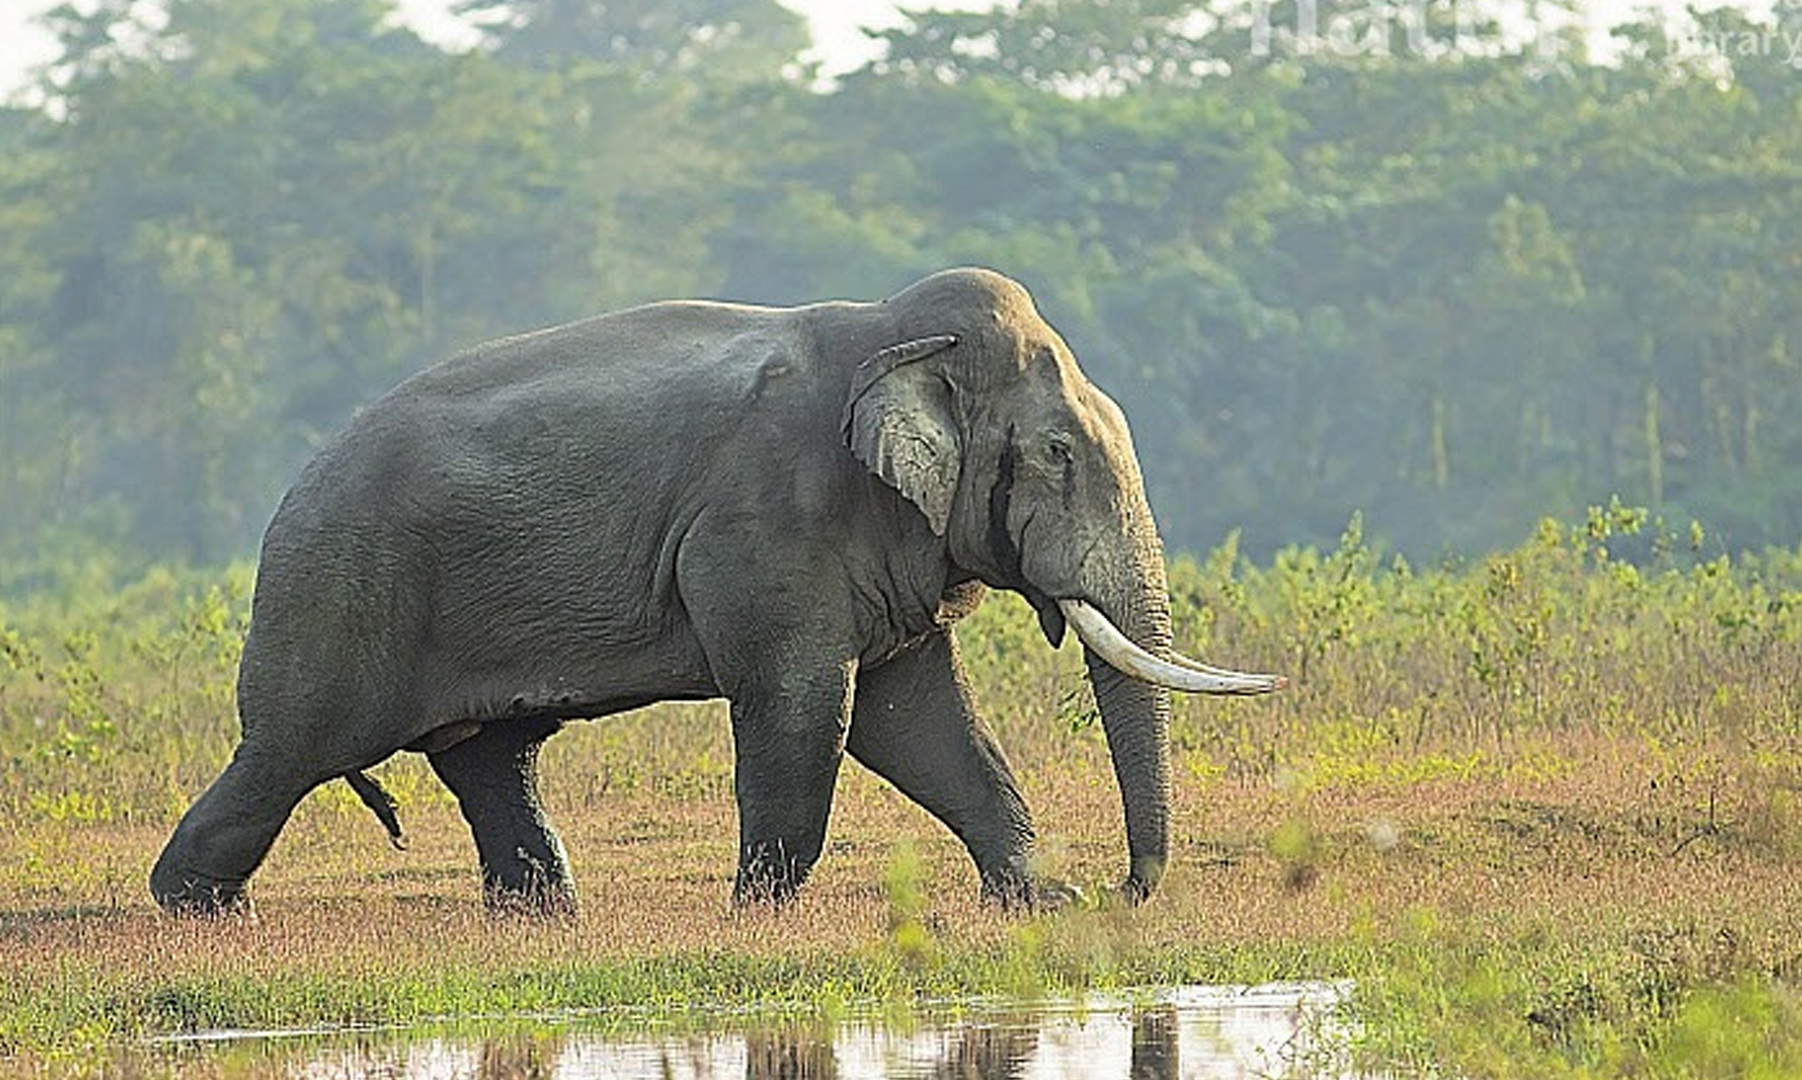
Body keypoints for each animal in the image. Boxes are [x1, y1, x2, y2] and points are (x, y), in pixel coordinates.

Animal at [149, 267, 1283, 916]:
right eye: (1055, 454)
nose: (1126, 890)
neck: (889, 332)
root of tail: (299, 483)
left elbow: (915, 718)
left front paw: (1037, 902)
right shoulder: (768, 520)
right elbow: (805, 708)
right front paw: (759, 919)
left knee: (490, 760)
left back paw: (544, 919)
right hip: (339, 591)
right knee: (290, 753)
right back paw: (196, 911)